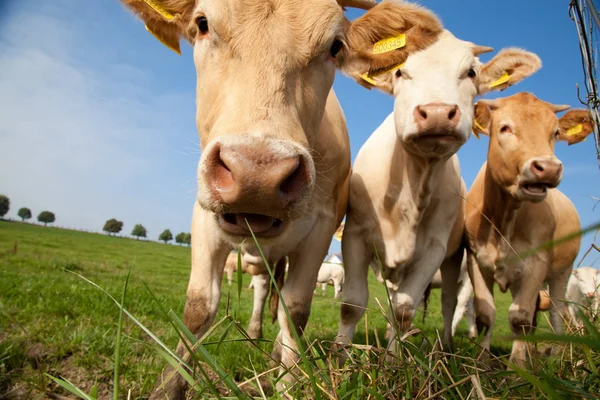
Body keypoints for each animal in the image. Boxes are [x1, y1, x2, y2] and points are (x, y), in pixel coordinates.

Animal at [118, 0, 446, 396]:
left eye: (335, 46)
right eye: (203, 23)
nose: (257, 175)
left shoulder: (322, 226)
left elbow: (296, 308)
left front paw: (288, 381)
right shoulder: (204, 215)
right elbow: (199, 306)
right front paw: (169, 387)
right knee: (261, 289)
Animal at [336, 27, 540, 360]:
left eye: (471, 72)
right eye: (400, 72)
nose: (437, 113)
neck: (410, 189)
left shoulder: (434, 248)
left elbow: (405, 309)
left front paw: (393, 361)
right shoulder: (355, 234)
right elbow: (352, 303)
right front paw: (339, 356)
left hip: (456, 260)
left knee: (448, 305)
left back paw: (445, 347)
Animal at [464, 92, 596, 368]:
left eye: (555, 132)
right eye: (504, 127)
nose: (548, 168)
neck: (505, 219)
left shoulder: (536, 263)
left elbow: (520, 319)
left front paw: (517, 366)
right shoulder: (475, 260)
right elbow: (485, 315)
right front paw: (482, 361)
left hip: (561, 273)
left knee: (557, 314)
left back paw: (553, 357)